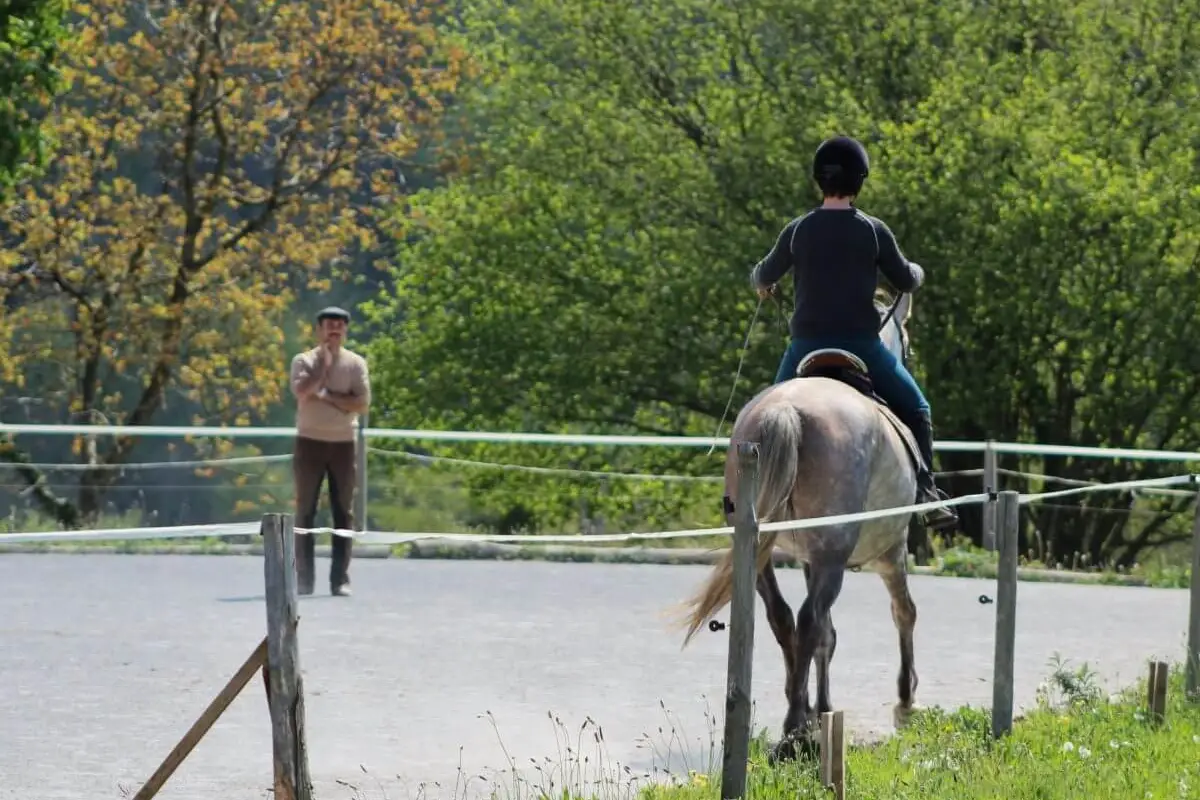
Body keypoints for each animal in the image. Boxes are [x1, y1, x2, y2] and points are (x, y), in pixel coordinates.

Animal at [676, 290, 923, 761]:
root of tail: (785, 410)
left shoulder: (810, 558)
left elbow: (828, 634)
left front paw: (822, 708)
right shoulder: (891, 549)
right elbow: (903, 612)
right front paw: (905, 702)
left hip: (761, 552)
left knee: (785, 617)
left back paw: (800, 716)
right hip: (835, 554)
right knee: (809, 620)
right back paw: (794, 727)